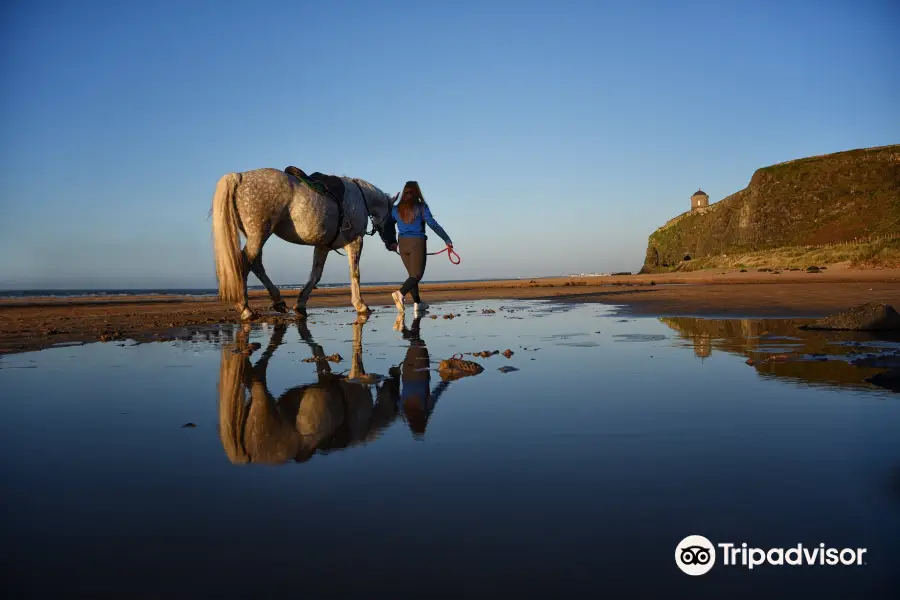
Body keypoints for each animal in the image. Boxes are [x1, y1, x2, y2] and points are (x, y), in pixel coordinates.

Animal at [213, 166, 396, 322]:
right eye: (394, 219)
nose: (393, 244)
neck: (360, 198)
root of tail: (240, 177)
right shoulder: (355, 242)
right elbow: (355, 273)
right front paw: (360, 305)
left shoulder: (323, 246)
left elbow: (316, 275)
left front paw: (300, 304)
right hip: (258, 235)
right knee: (244, 264)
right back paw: (245, 309)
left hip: (257, 236)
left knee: (256, 264)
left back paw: (278, 301)